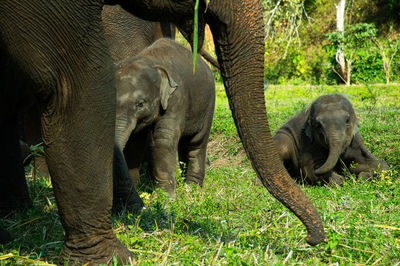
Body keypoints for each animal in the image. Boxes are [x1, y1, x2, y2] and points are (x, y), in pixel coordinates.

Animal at [115, 39, 216, 197]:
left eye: (140, 104)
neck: (150, 61)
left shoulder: (176, 99)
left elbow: (163, 140)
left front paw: (165, 198)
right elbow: (133, 144)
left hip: (208, 105)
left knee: (196, 144)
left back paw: (191, 190)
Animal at [260, 94, 388, 186]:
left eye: (347, 120)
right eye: (318, 125)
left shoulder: (355, 139)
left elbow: (380, 164)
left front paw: (362, 177)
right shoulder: (309, 142)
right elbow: (309, 169)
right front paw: (342, 179)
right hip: (282, 138)